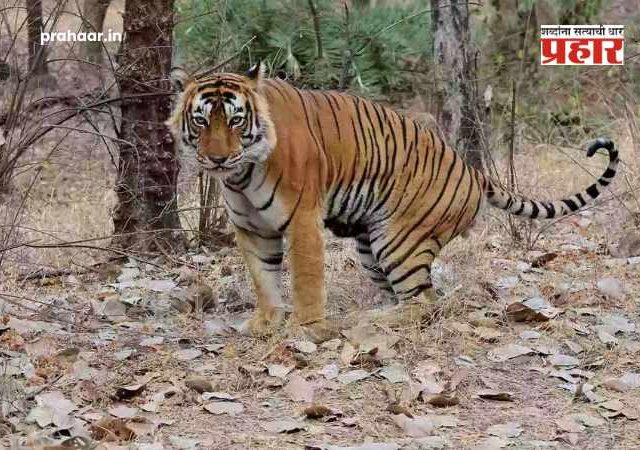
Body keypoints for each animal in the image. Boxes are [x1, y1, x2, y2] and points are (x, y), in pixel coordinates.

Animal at [167, 62, 619, 341]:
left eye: (236, 120)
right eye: (202, 121)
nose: (217, 158)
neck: (240, 176)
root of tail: (473, 170)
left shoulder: (302, 219)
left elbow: (305, 279)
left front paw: (305, 328)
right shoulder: (251, 227)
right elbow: (263, 279)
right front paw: (265, 322)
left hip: (399, 240)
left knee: (425, 303)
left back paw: (374, 319)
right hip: (371, 246)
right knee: (411, 294)